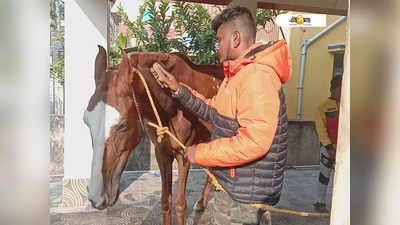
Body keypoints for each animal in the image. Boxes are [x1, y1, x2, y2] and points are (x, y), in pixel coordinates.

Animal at [83, 46, 223, 225]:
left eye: (122, 125)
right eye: (86, 121)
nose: (96, 198)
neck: (171, 103)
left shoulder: (183, 154)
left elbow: (180, 204)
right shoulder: (161, 152)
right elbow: (165, 202)